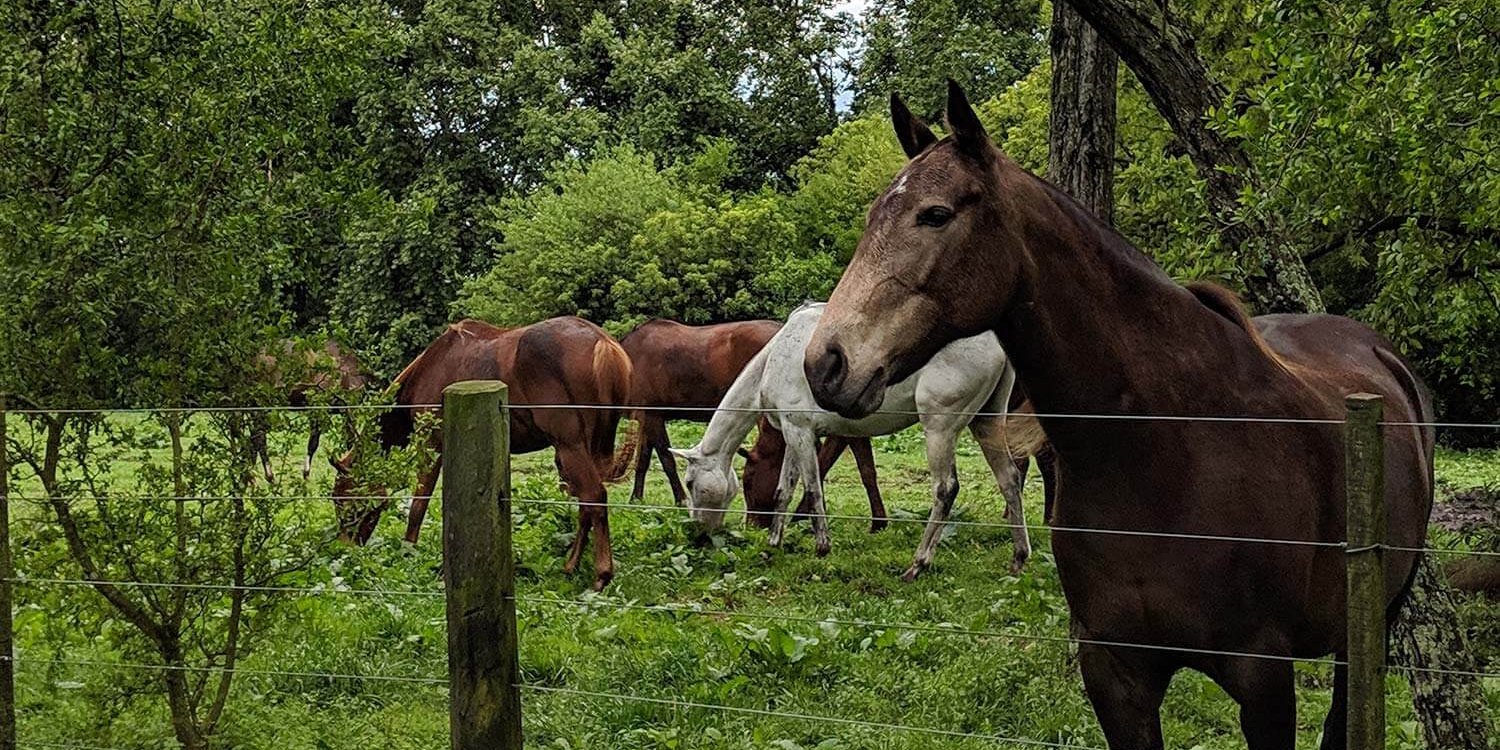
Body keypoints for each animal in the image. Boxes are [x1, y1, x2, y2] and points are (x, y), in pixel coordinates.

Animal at [334, 316, 633, 591]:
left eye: (344, 498)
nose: (346, 548)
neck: (427, 370)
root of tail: (603, 344)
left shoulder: (432, 446)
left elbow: (418, 505)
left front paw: (409, 551)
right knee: (586, 503)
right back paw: (571, 565)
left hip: (570, 445)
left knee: (594, 496)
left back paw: (601, 574)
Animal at [624, 319, 888, 531]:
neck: (629, 359)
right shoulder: (647, 418)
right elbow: (644, 460)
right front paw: (635, 499)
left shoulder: (653, 416)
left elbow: (665, 460)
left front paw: (679, 500)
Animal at [675, 303, 1026, 579]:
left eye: (691, 482)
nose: (698, 534)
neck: (776, 357)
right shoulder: (793, 432)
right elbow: (783, 491)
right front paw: (774, 543)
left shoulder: (802, 432)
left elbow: (812, 489)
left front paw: (821, 546)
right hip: (987, 422)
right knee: (1009, 478)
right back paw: (1019, 558)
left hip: (940, 429)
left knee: (946, 489)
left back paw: (918, 564)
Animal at [804, 79, 1434, 747]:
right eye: (873, 217)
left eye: (936, 214)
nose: (827, 363)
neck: (1165, 452)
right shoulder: (1115, 673)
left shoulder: (1264, 678)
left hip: (1373, 622)